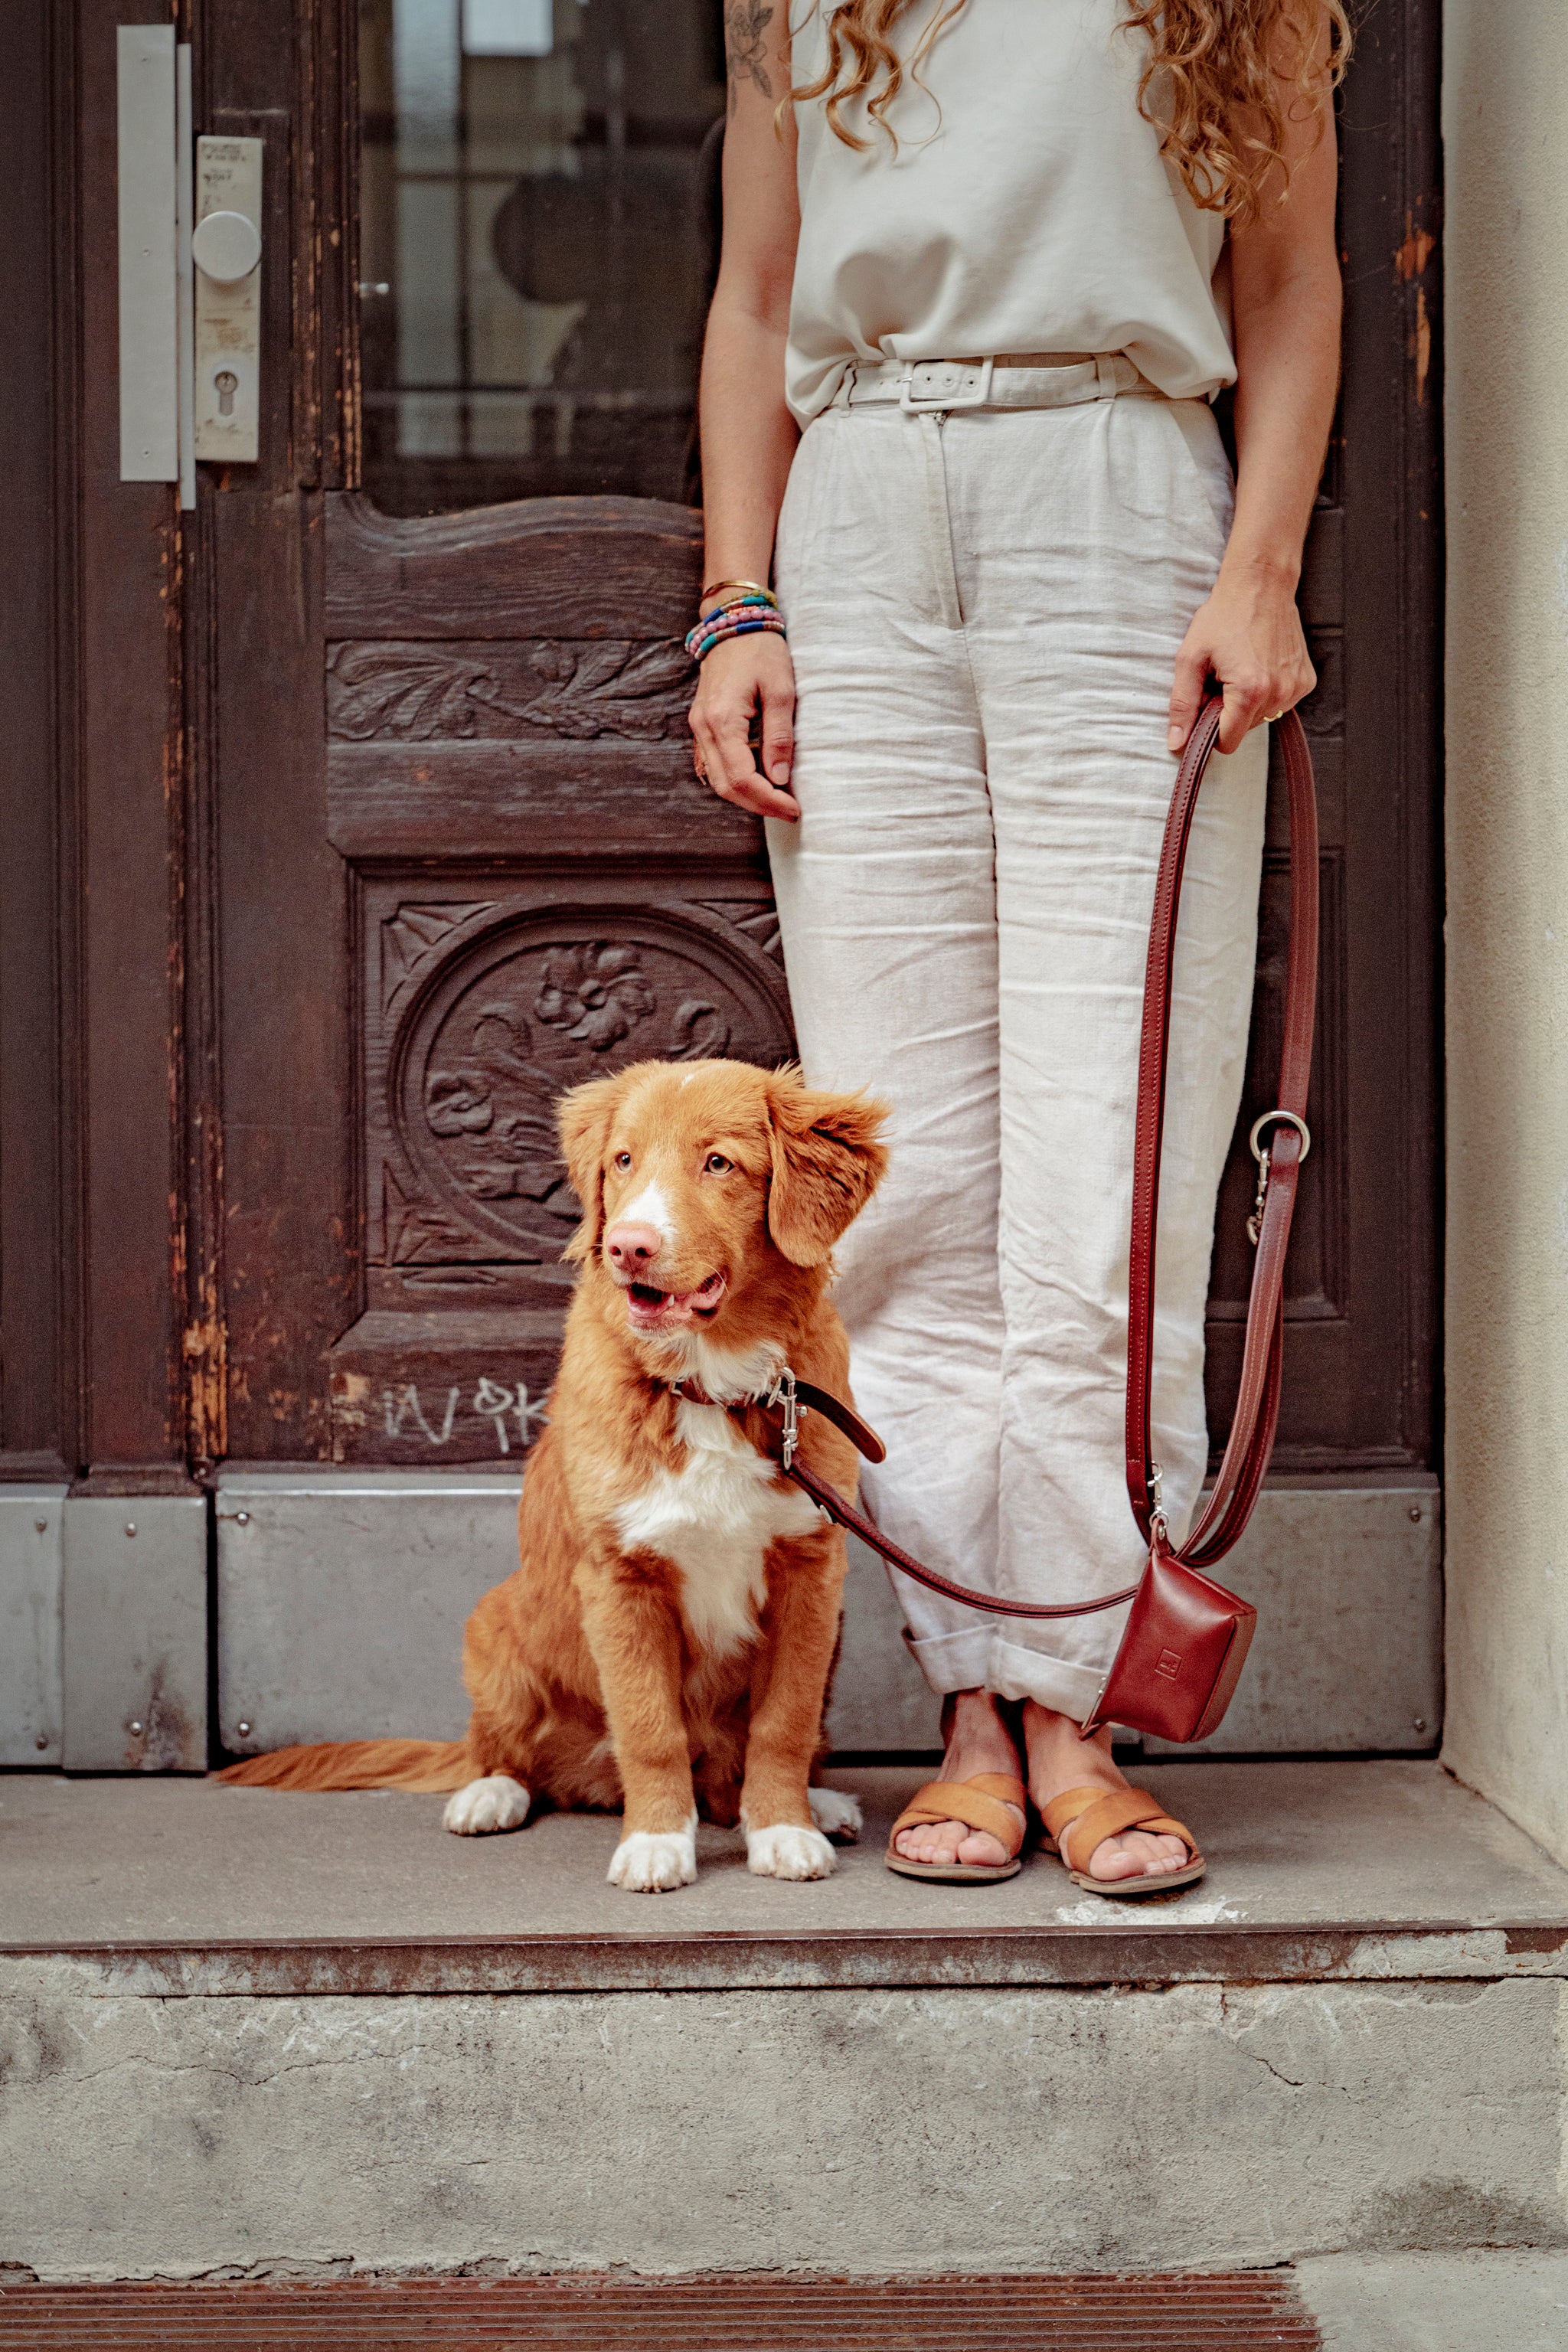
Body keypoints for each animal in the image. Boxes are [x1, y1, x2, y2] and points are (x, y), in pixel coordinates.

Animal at [220, 1063, 888, 1890]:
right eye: (623, 1161)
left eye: (718, 1163)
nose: (627, 1246)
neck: (710, 1386)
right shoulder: (618, 1575)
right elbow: (649, 1726)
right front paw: (657, 1843)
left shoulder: (810, 1570)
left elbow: (783, 1722)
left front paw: (782, 1830)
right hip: (495, 1625)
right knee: (506, 1752)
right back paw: (489, 1795)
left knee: (733, 1766)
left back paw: (811, 1804)